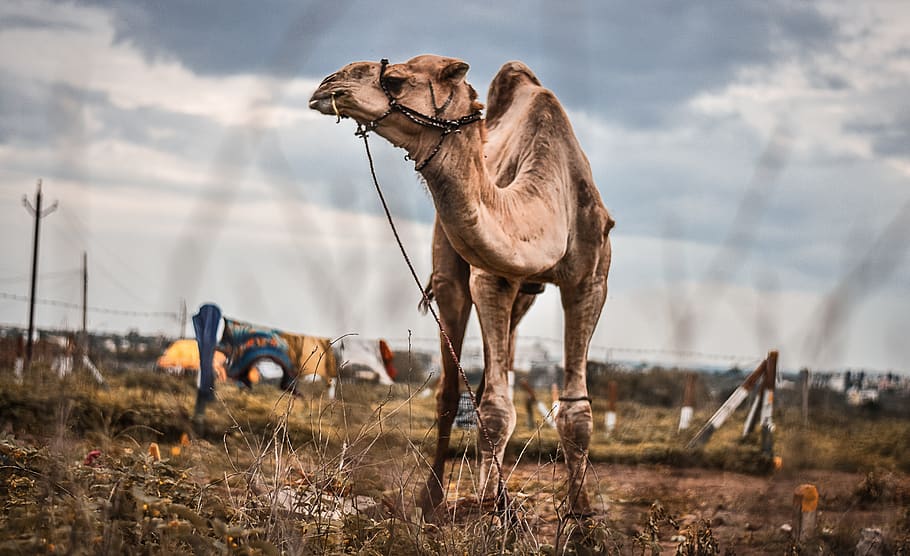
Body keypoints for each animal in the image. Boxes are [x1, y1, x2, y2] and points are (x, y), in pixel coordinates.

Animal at [309, 55, 613, 519]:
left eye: (395, 80)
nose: (328, 85)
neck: (549, 202)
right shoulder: (490, 278)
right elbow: (495, 409)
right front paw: (487, 508)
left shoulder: (590, 281)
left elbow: (576, 413)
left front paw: (580, 512)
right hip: (450, 273)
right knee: (452, 393)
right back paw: (435, 499)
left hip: (524, 296)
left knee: (492, 379)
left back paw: (498, 495)